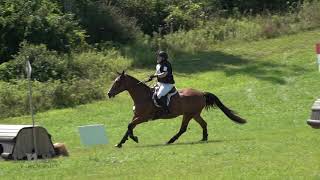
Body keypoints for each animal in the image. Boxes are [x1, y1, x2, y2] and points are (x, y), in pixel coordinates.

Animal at [108, 70, 248, 148]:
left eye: (117, 82)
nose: (109, 94)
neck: (142, 96)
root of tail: (201, 93)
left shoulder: (144, 117)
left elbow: (129, 126)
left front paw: (134, 138)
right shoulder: (136, 116)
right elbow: (128, 127)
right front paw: (120, 143)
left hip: (188, 115)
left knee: (183, 129)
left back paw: (170, 141)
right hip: (195, 114)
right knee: (203, 124)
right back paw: (204, 138)